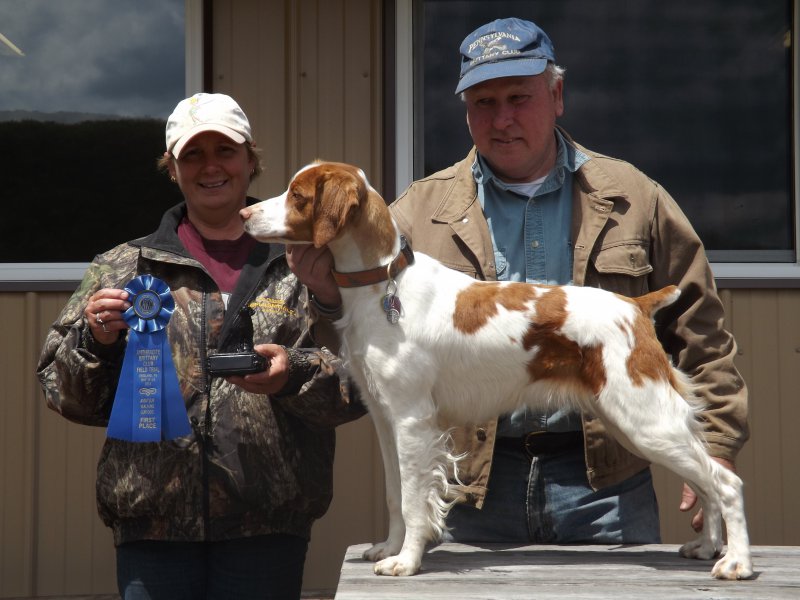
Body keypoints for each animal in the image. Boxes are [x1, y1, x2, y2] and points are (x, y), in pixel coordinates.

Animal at [241, 161, 752, 580]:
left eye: (297, 195)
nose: (245, 216)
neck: (382, 286)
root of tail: (636, 305)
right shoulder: (386, 420)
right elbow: (393, 494)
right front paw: (387, 548)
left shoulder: (412, 419)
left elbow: (413, 497)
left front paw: (406, 561)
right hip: (636, 422)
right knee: (705, 482)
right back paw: (707, 547)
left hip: (644, 420)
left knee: (726, 481)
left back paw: (736, 564)